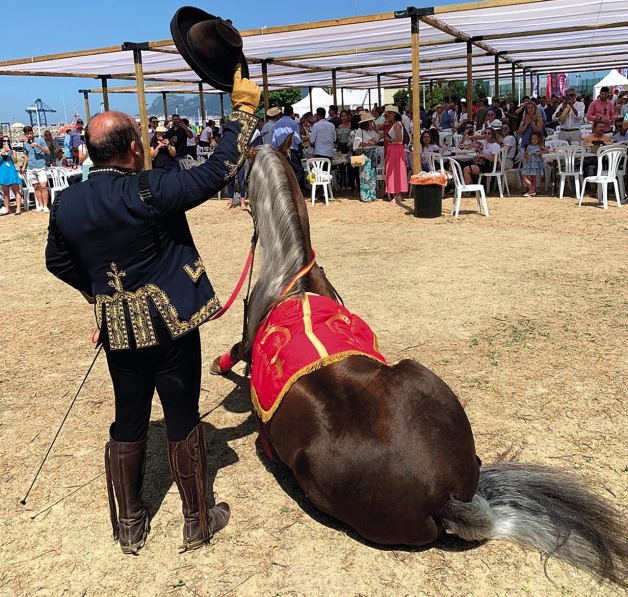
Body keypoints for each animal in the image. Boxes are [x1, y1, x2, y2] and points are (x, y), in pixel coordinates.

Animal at [212, 136, 628, 588]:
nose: (236, 197)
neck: (293, 281)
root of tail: (441, 496)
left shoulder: (246, 342)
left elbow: (234, 354)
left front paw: (218, 364)